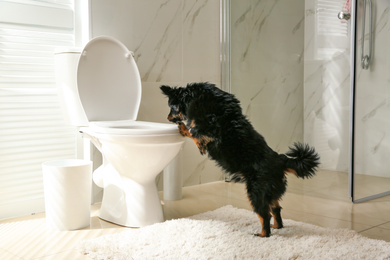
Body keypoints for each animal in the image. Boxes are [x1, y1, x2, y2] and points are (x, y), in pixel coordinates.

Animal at [160, 82, 318, 237]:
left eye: (171, 107)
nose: (167, 118)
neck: (197, 96)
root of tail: (281, 160)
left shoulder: (206, 132)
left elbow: (192, 131)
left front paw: (182, 128)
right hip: (269, 192)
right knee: (276, 209)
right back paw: (277, 227)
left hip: (255, 192)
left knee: (265, 215)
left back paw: (262, 234)